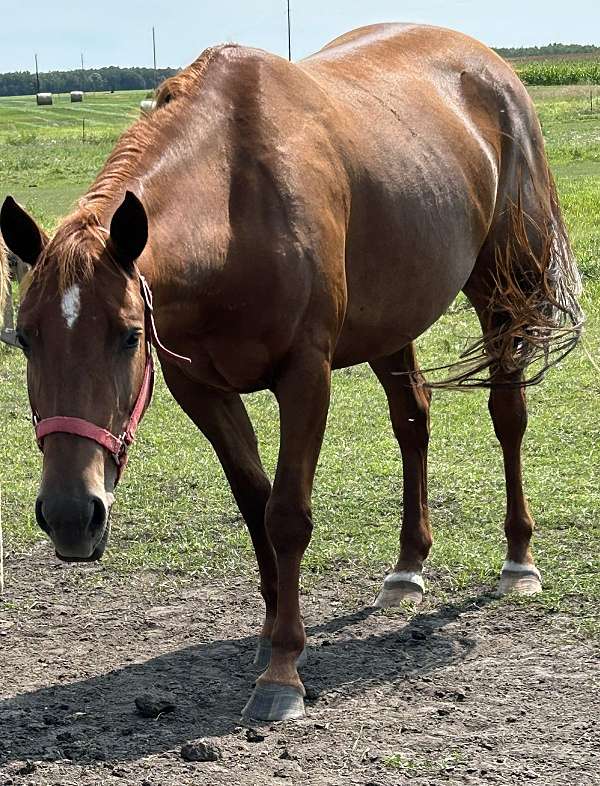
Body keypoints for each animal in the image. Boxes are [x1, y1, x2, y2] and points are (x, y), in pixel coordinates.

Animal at [0, 24, 582, 721]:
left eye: (128, 335)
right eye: (24, 337)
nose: (69, 515)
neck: (236, 205)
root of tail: (496, 71)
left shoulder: (306, 377)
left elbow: (287, 515)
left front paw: (282, 669)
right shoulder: (200, 389)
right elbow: (256, 504)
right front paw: (270, 631)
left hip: (500, 291)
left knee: (507, 414)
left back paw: (518, 562)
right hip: (391, 319)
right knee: (412, 421)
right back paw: (407, 568)